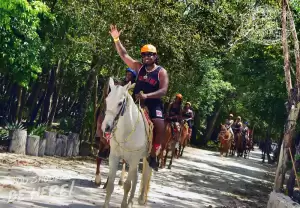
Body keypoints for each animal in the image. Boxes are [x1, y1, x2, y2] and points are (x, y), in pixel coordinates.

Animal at [102, 77, 154, 207]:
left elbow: (127, 185)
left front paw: (124, 204)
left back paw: (140, 199)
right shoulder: (114, 156)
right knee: (136, 177)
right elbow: (110, 185)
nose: (106, 127)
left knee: (144, 176)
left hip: (145, 158)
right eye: (107, 100)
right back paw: (130, 202)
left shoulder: (134, 158)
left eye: (120, 103)